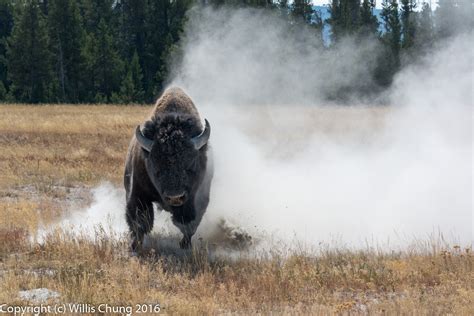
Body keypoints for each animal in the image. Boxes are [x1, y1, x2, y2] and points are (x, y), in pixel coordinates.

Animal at [123, 87, 212, 253]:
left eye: (190, 164)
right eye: (156, 167)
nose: (175, 197)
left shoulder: (197, 196)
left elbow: (190, 223)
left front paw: (184, 245)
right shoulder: (138, 193)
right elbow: (140, 222)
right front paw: (134, 246)